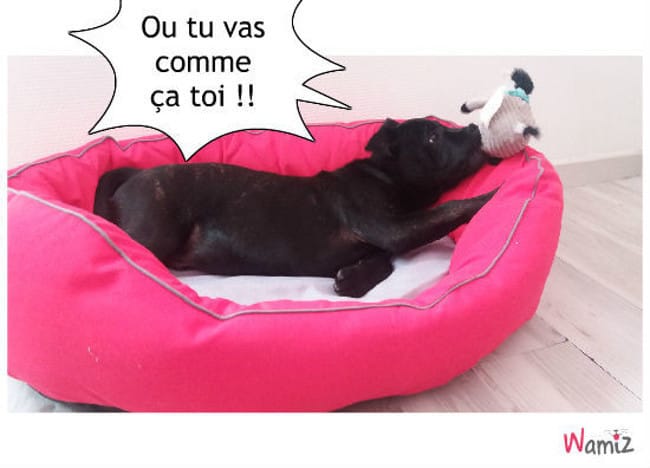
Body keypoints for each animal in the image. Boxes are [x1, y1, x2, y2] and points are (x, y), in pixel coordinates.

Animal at [94, 118, 497, 297]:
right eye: (432, 136)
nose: (474, 129)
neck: (385, 174)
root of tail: (134, 176)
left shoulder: (386, 236)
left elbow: (382, 260)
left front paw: (353, 279)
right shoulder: (390, 227)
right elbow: (450, 208)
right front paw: (492, 196)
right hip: (155, 229)